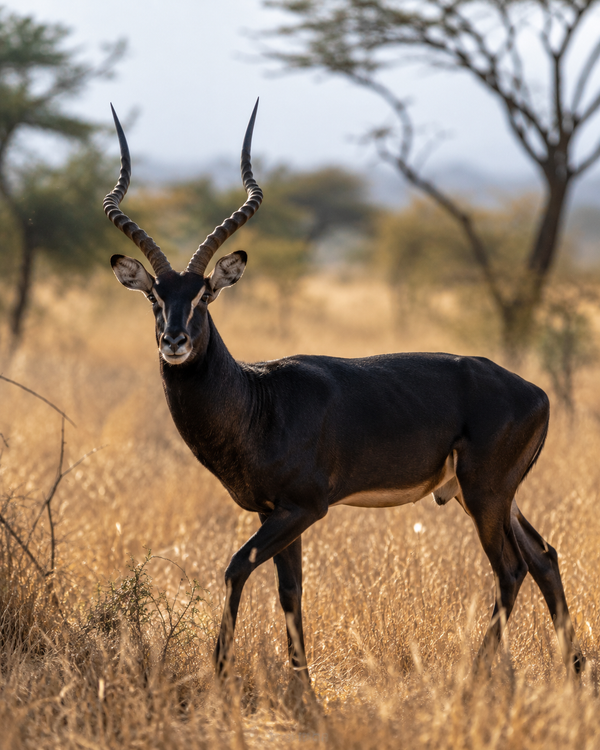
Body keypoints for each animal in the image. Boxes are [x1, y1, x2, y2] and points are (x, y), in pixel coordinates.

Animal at [104, 101, 583, 688]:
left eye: (204, 296)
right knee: (544, 557)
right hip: (494, 495)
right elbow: (290, 591)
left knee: (512, 568)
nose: (174, 341)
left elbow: (235, 568)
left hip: (485, 493)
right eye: (154, 297)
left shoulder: (304, 508)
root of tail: (537, 393)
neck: (258, 401)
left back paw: (474, 677)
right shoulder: (273, 513)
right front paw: (302, 687)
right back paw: (574, 672)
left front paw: (217, 674)